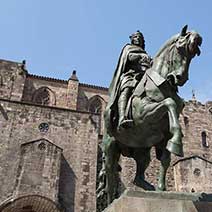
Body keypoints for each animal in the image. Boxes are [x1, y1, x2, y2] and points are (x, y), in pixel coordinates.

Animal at [98, 25, 203, 205]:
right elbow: (169, 103)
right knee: (111, 177)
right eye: (180, 48)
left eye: (194, 53)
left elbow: (166, 160)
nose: (179, 78)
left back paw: (148, 187)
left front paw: (162, 189)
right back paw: (112, 201)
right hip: (110, 147)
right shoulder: (144, 115)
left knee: (138, 175)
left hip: (141, 149)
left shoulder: (163, 136)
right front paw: (177, 141)